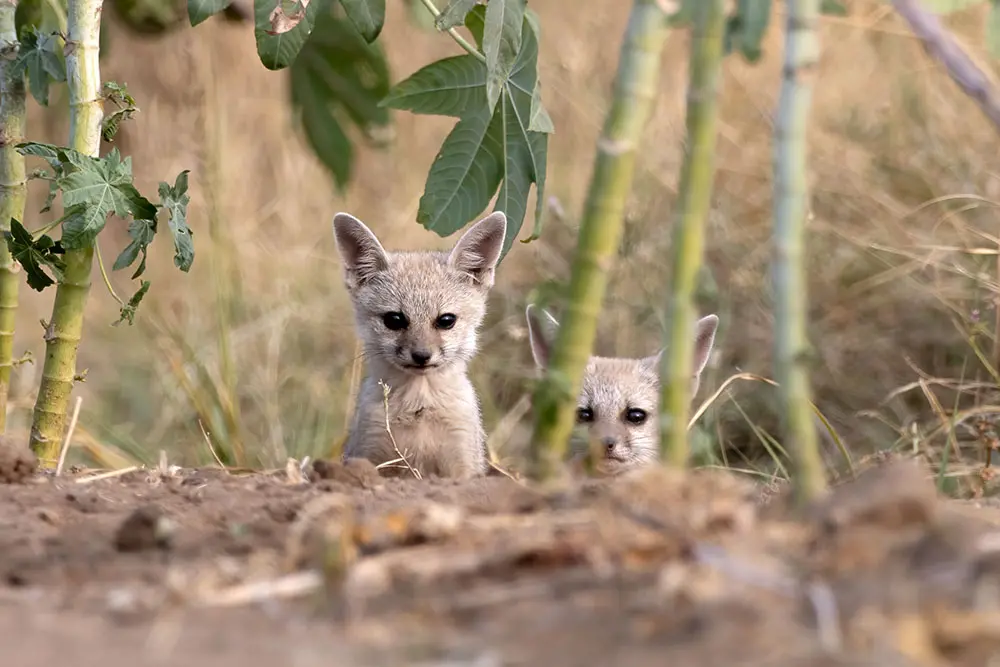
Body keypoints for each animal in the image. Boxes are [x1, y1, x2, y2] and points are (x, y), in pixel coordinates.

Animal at [332, 210, 507, 480]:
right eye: (394, 320)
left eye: (446, 320)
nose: (422, 355)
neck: (419, 408)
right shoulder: (371, 456)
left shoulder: (462, 466)